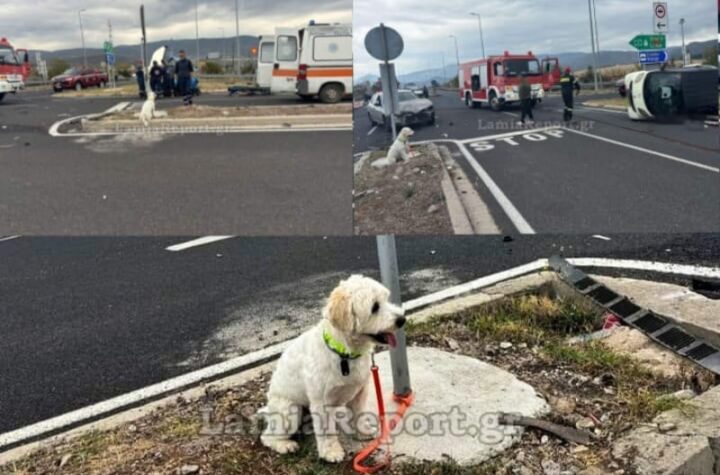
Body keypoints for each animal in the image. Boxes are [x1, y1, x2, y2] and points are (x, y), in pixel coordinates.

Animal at [260, 276, 408, 464]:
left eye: (386, 299)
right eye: (375, 307)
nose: (402, 319)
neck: (344, 352)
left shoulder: (360, 392)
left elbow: (358, 414)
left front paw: (361, 431)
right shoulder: (321, 402)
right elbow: (326, 431)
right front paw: (331, 452)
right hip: (289, 411)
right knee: (267, 437)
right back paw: (284, 445)